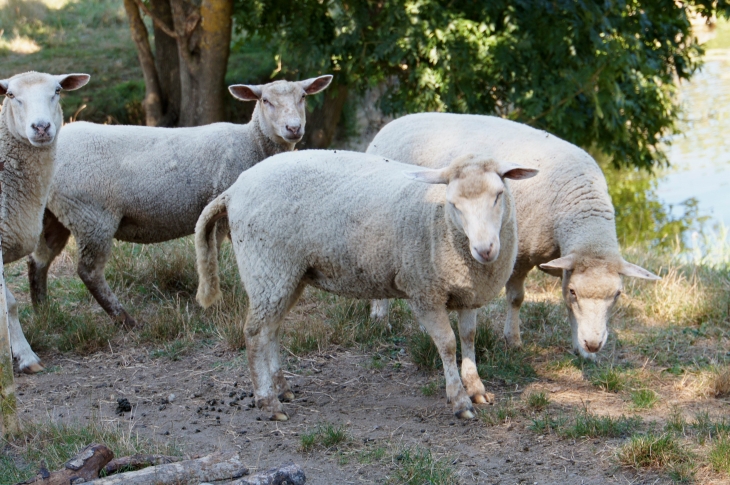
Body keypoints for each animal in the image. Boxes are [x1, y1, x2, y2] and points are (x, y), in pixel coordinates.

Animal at [27, 74, 332, 328]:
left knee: (39, 260)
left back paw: (43, 310)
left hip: (55, 214)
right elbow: (213, 257)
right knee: (89, 271)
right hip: (92, 216)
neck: (252, 143)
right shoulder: (220, 209)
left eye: (303, 97)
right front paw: (214, 301)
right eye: (265, 100)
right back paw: (125, 320)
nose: (293, 128)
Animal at [193, 149, 536, 418]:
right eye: (454, 204)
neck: (440, 223)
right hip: (266, 267)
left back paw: (283, 389)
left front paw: (477, 388)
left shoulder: (467, 292)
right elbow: (448, 344)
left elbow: (469, 338)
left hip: (287, 275)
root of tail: (234, 189)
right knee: (254, 334)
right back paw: (268, 402)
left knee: (271, 331)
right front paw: (460, 400)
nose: (485, 249)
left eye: (498, 195)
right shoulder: (424, 291)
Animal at [366, 111, 656, 358]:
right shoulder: (519, 255)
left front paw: (582, 351)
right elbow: (517, 298)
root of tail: (391, 125)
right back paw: (380, 318)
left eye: (617, 294)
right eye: (575, 291)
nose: (594, 344)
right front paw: (513, 340)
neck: (577, 204)